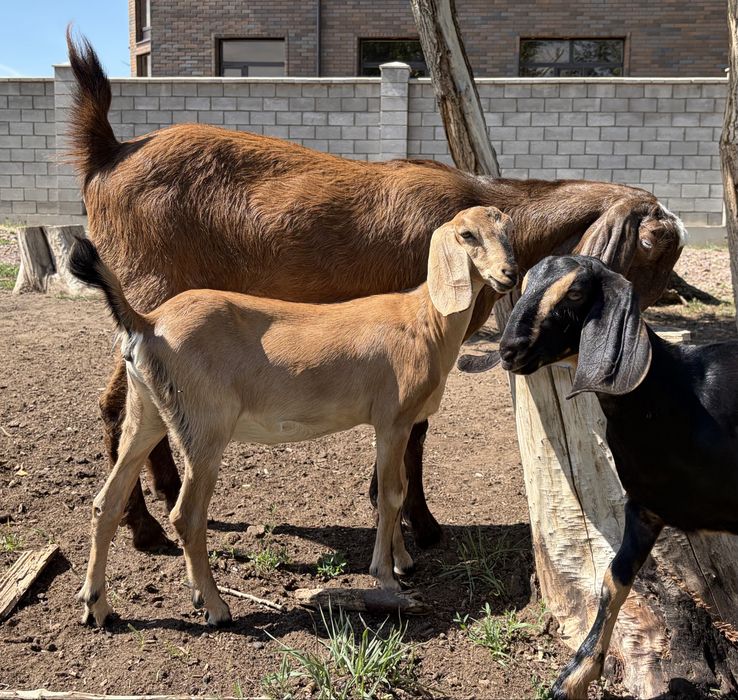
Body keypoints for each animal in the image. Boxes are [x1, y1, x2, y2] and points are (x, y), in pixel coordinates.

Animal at [66, 30, 686, 555]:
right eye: (653, 251)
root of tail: (109, 154)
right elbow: (416, 431)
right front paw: (422, 523)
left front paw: (389, 505)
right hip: (149, 288)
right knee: (115, 402)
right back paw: (145, 528)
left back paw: (166, 497)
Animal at [70, 206, 517, 627]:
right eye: (467, 234)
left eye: (507, 229)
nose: (508, 274)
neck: (424, 320)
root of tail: (148, 322)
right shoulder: (393, 419)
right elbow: (392, 494)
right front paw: (387, 577)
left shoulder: (397, 424)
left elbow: (396, 489)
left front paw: (403, 560)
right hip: (205, 428)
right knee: (187, 516)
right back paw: (215, 606)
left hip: (145, 414)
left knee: (106, 502)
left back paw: (98, 607)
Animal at [498, 254, 738, 700]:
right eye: (525, 283)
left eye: (576, 292)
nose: (509, 349)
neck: (677, 394)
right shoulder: (644, 507)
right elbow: (614, 578)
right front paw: (573, 678)